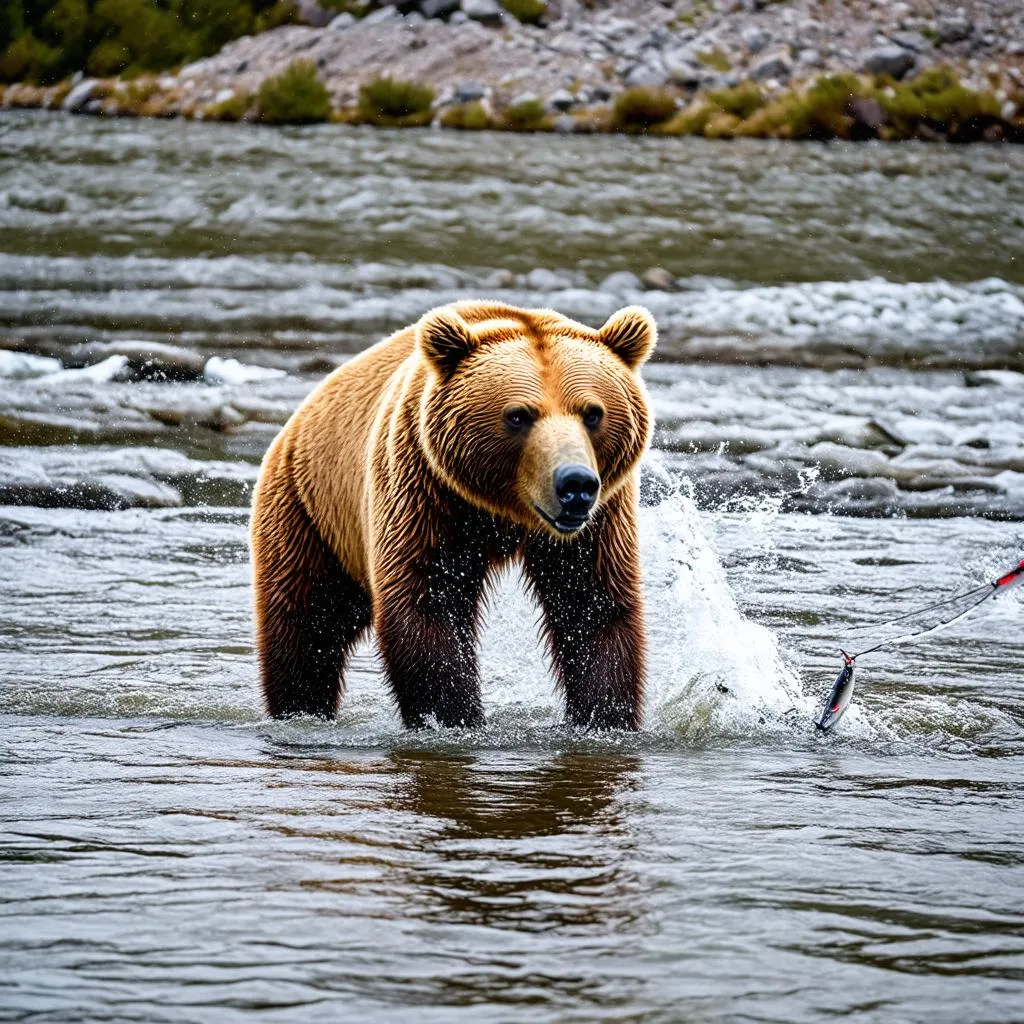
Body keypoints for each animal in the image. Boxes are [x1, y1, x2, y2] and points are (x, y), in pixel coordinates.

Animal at [251, 299, 659, 733]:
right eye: (518, 415)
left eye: (592, 413)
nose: (575, 484)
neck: (502, 510)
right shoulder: (422, 489)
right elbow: (428, 603)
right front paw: (454, 716)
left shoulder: (600, 519)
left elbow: (592, 604)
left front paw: (605, 715)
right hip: (310, 514)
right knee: (309, 624)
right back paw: (299, 707)